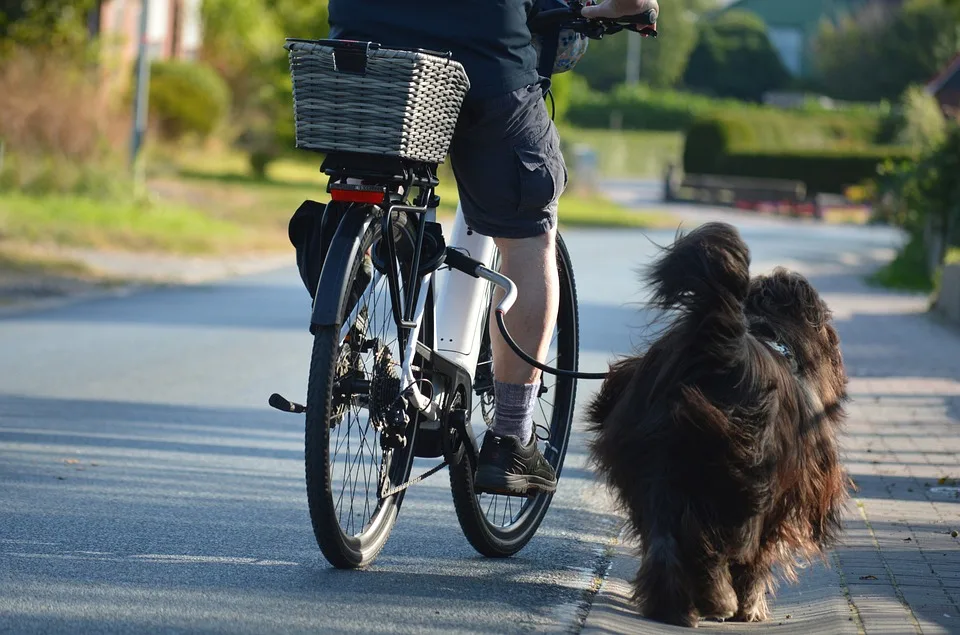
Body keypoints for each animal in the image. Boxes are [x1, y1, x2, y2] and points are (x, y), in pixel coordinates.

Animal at [584, 222, 848, 628]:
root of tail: (718, 341)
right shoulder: (784, 496)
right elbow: (759, 555)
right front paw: (751, 606)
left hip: (655, 458)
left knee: (665, 536)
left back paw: (673, 605)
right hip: (743, 478)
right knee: (716, 544)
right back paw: (718, 600)